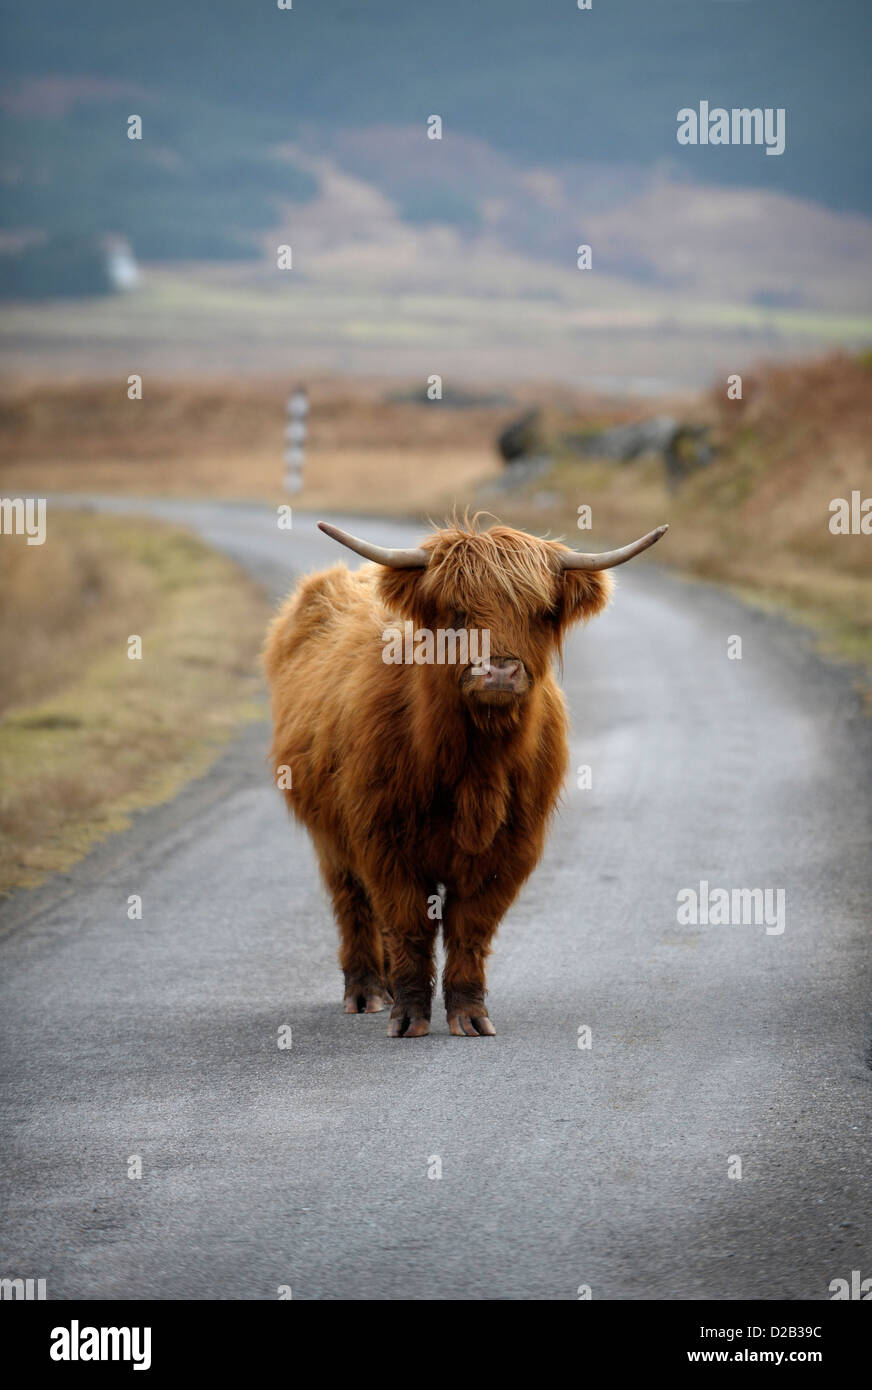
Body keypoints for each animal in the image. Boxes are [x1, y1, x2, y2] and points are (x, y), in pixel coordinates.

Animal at [264, 514, 667, 1038]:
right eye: (456, 612)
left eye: (542, 613)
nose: (498, 671)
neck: (473, 768)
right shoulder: (383, 841)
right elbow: (408, 925)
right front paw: (409, 1017)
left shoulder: (510, 848)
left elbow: (470, 928)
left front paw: (469, 1015)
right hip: (331, 836)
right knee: (352, 903)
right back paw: (367, 990)